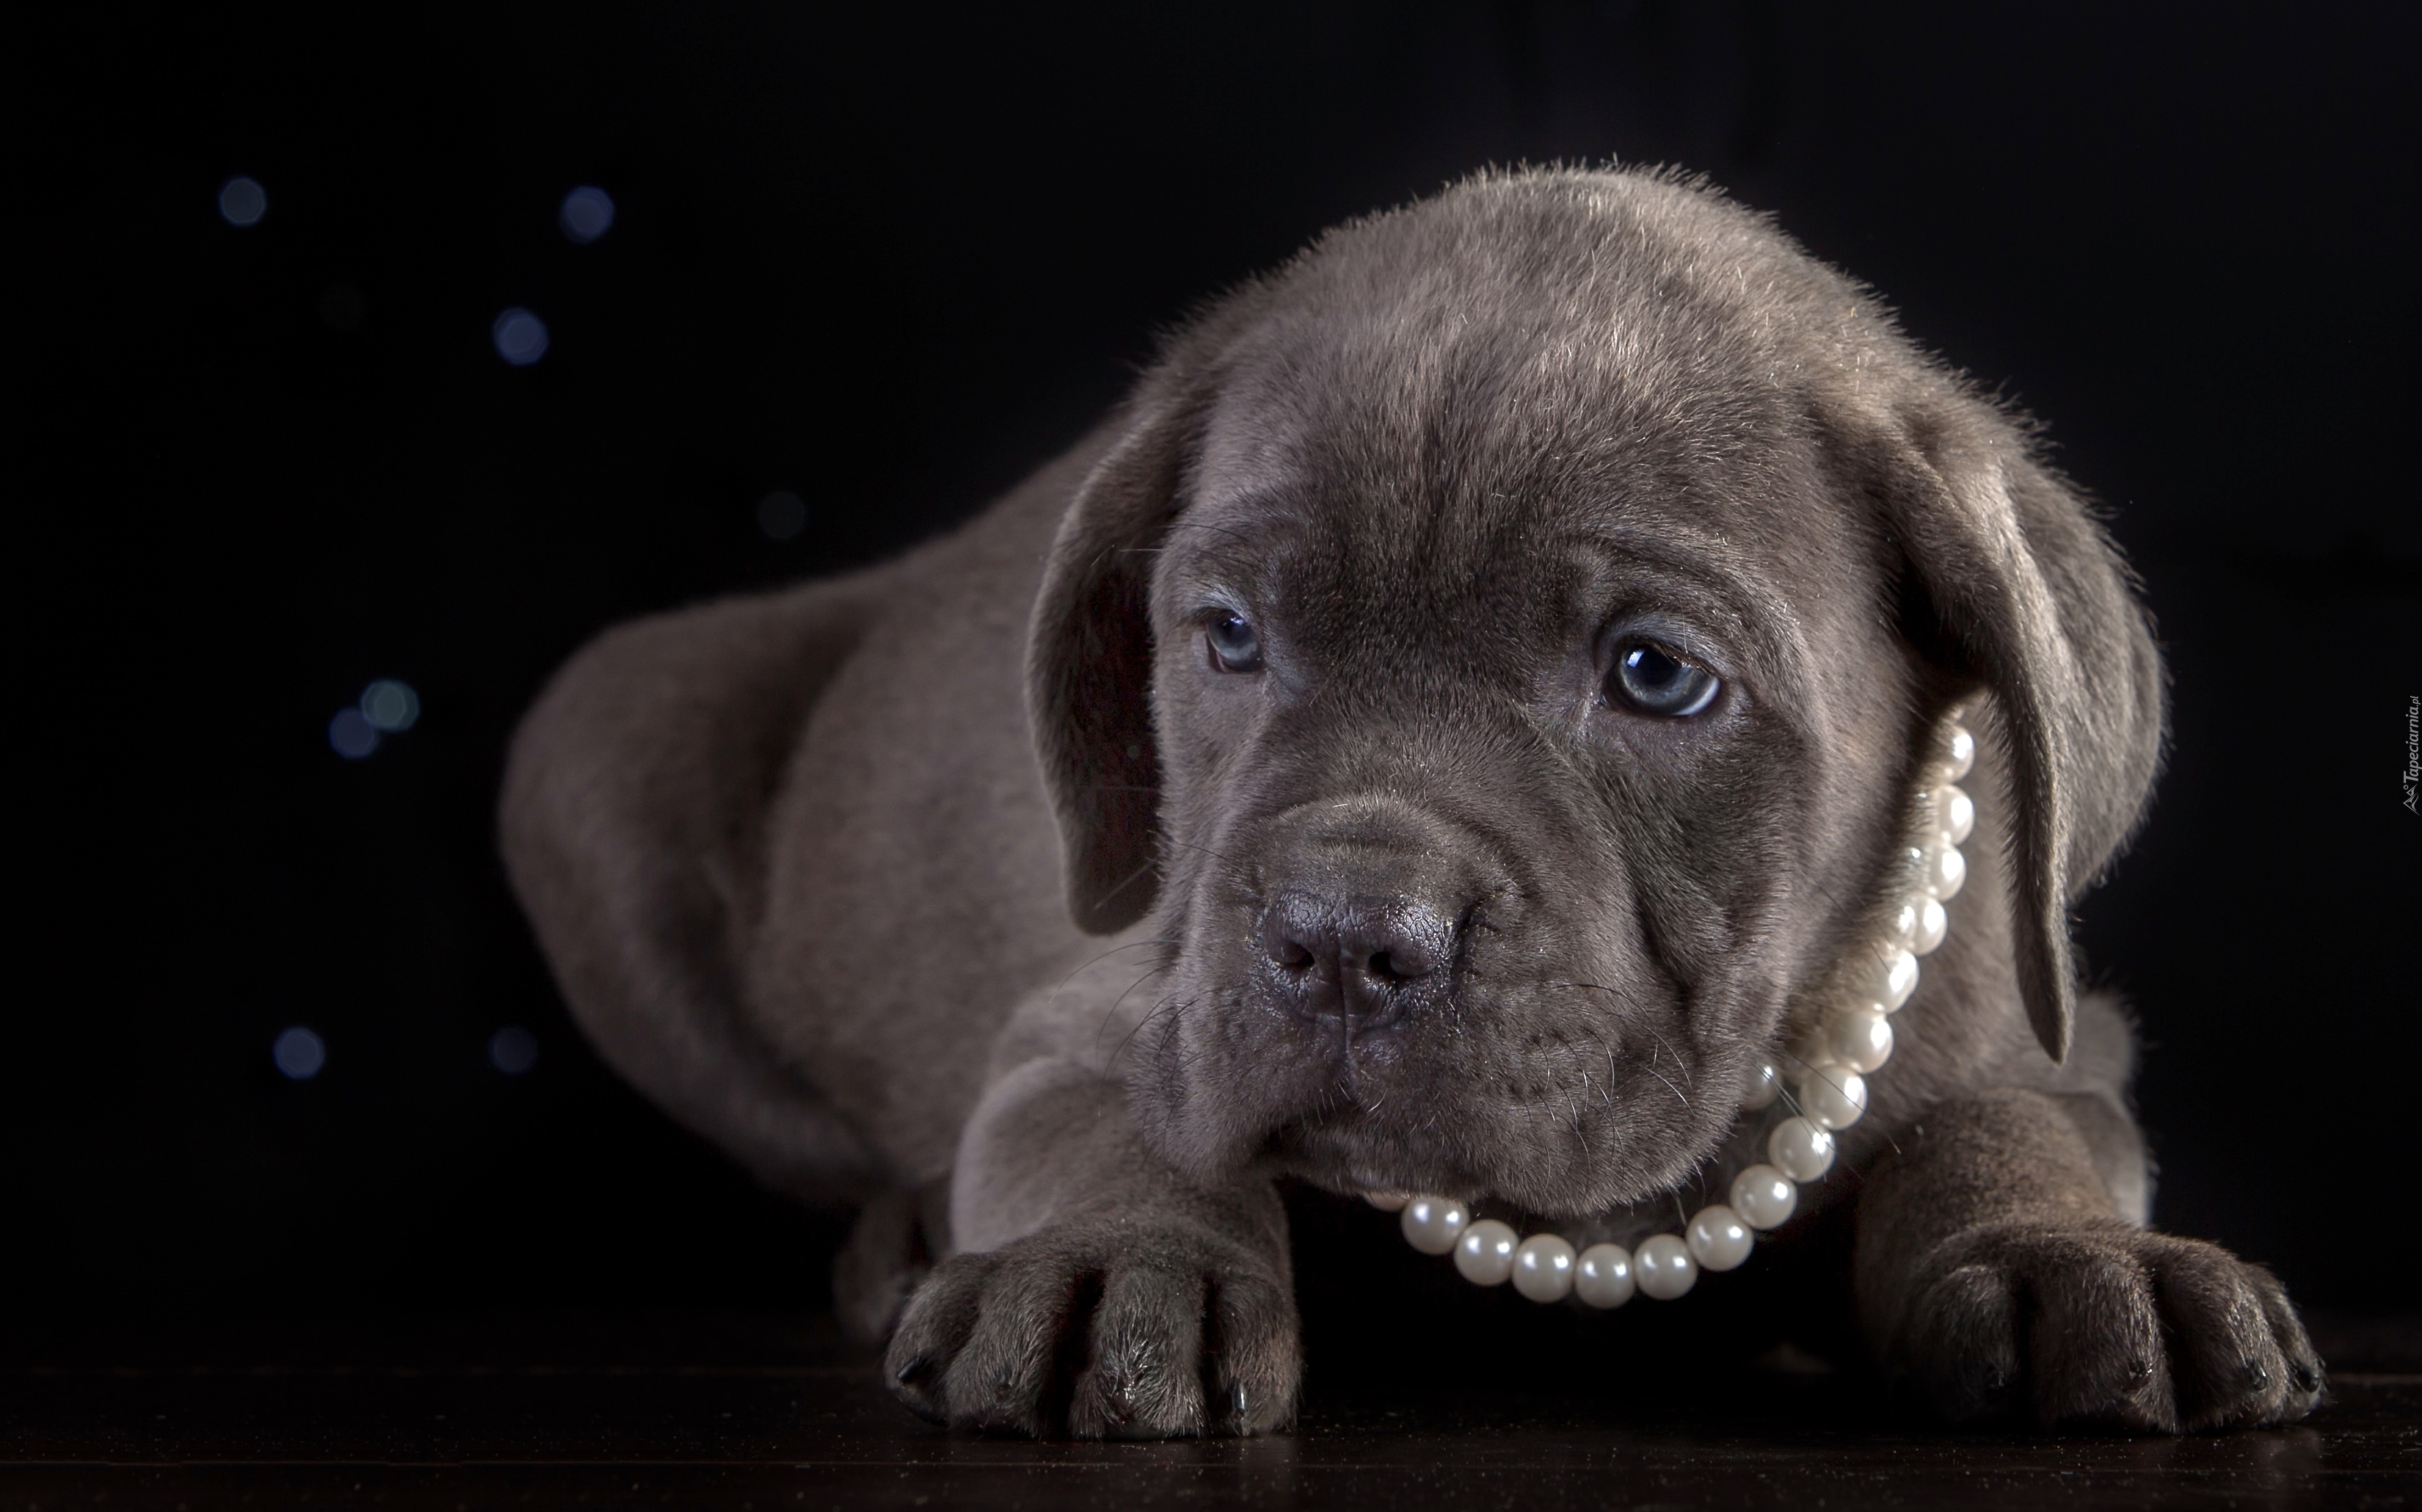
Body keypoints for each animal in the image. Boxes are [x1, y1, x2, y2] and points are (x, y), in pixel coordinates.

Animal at [501, 168, 2315, 1444]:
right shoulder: (1102, 1013)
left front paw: (2078, 1259)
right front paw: (1108, 1269)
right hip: (590, 750)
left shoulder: (2043, 1037)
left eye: (1657, 675)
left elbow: (2006, 1127)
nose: (1342, 938)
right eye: (1230, 637)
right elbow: (1100, 1124)